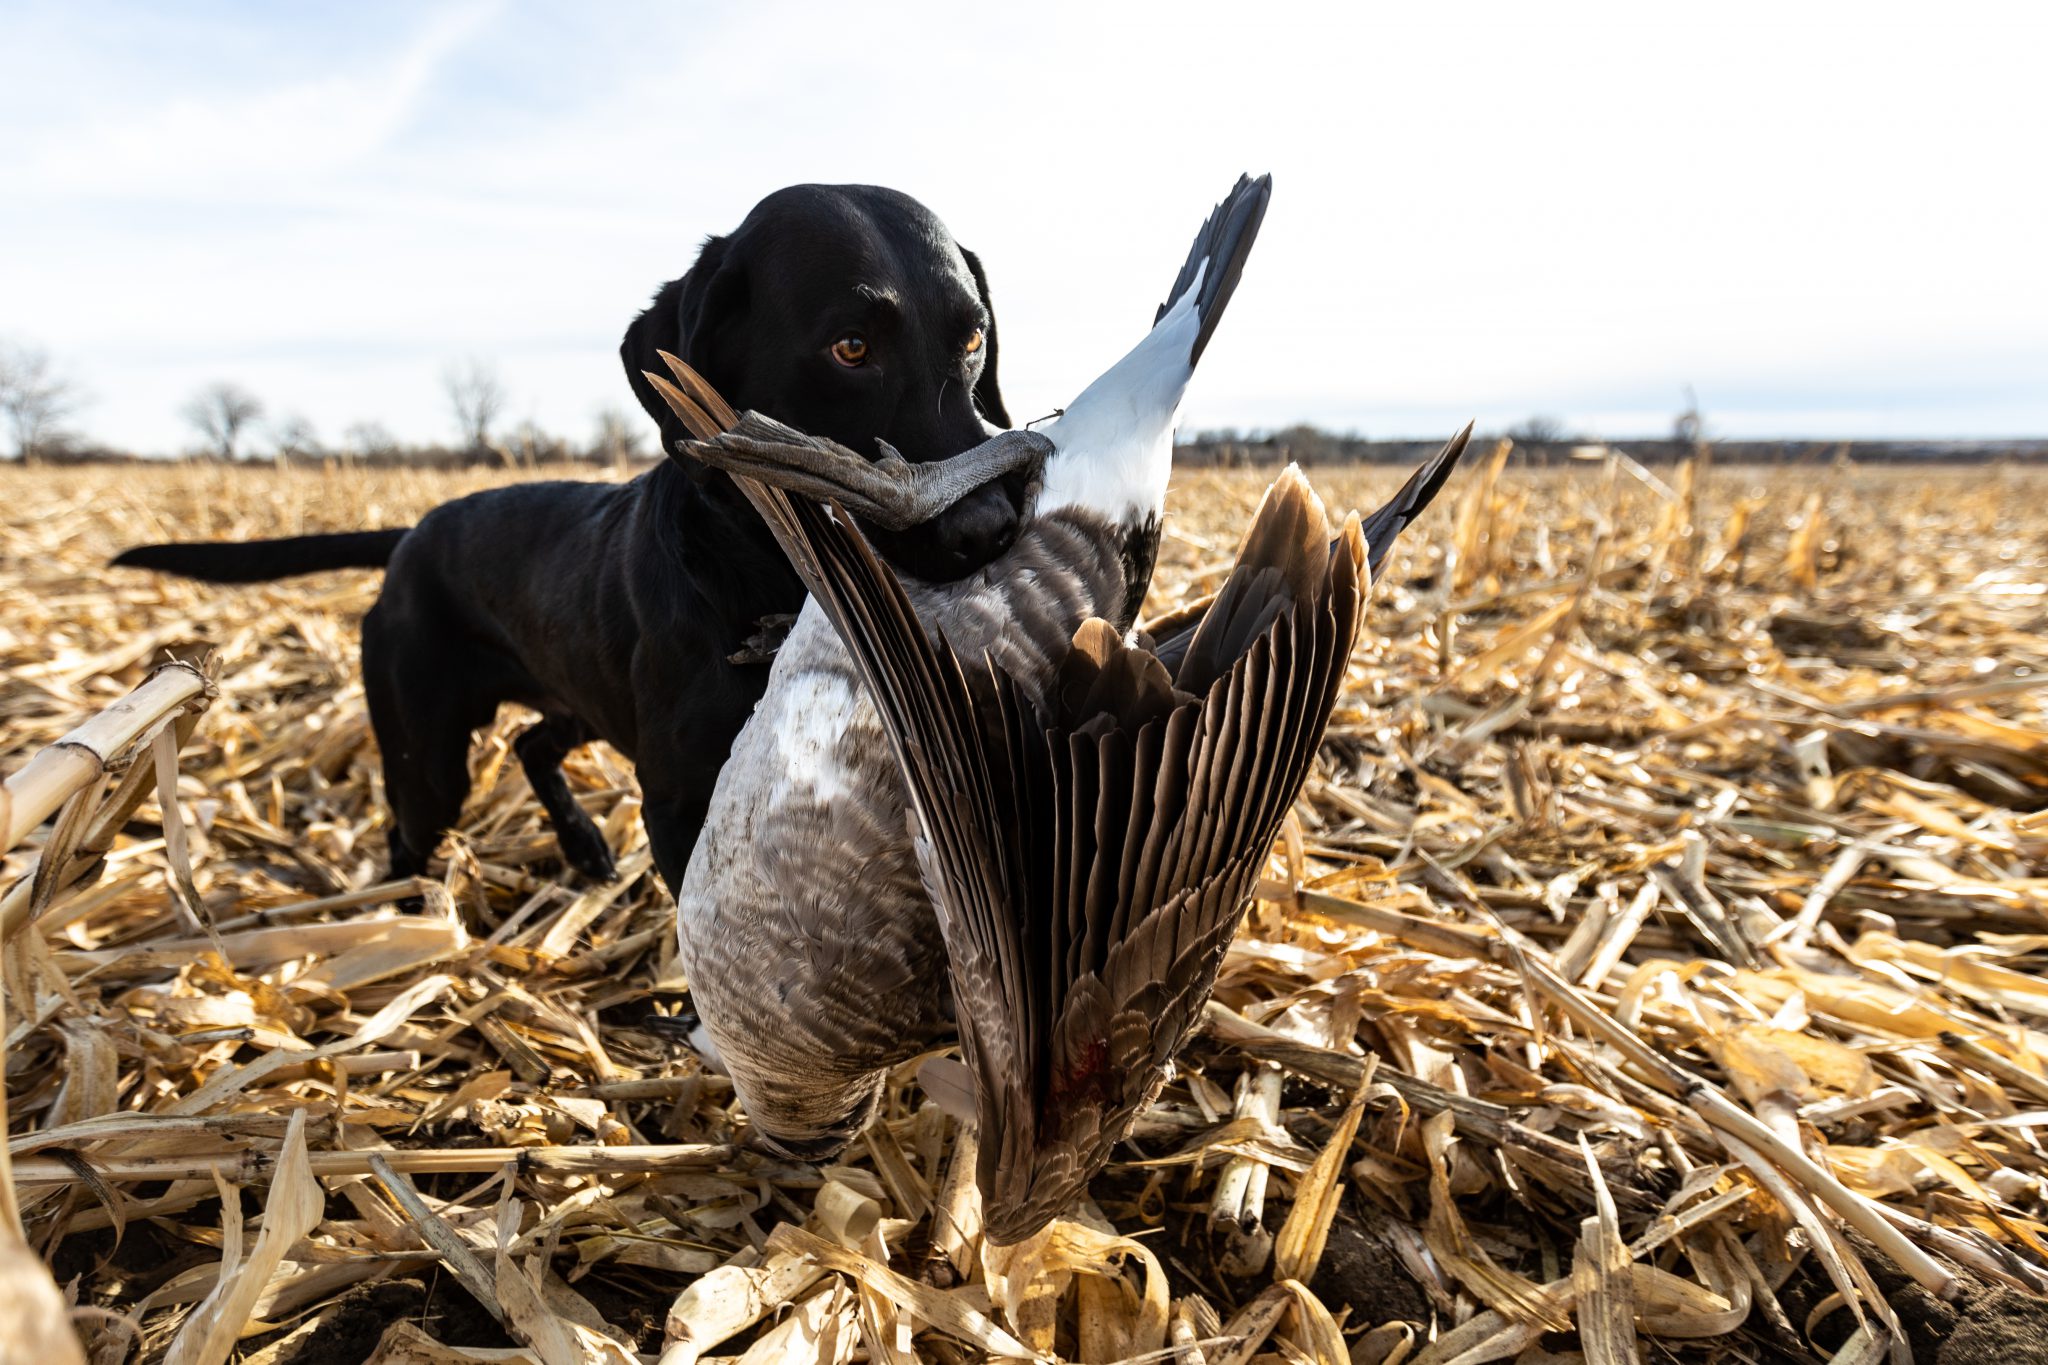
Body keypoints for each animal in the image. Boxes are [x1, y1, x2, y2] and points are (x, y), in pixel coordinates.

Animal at [112, 189, 1024, 896]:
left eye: (973, 339)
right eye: (850, 347)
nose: (988, 526)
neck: (765, 572)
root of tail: (414, 534)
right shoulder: (681, 800)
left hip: (576, 697)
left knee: (528, 742)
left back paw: (582, 844)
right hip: (428, 754)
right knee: (411, 831)